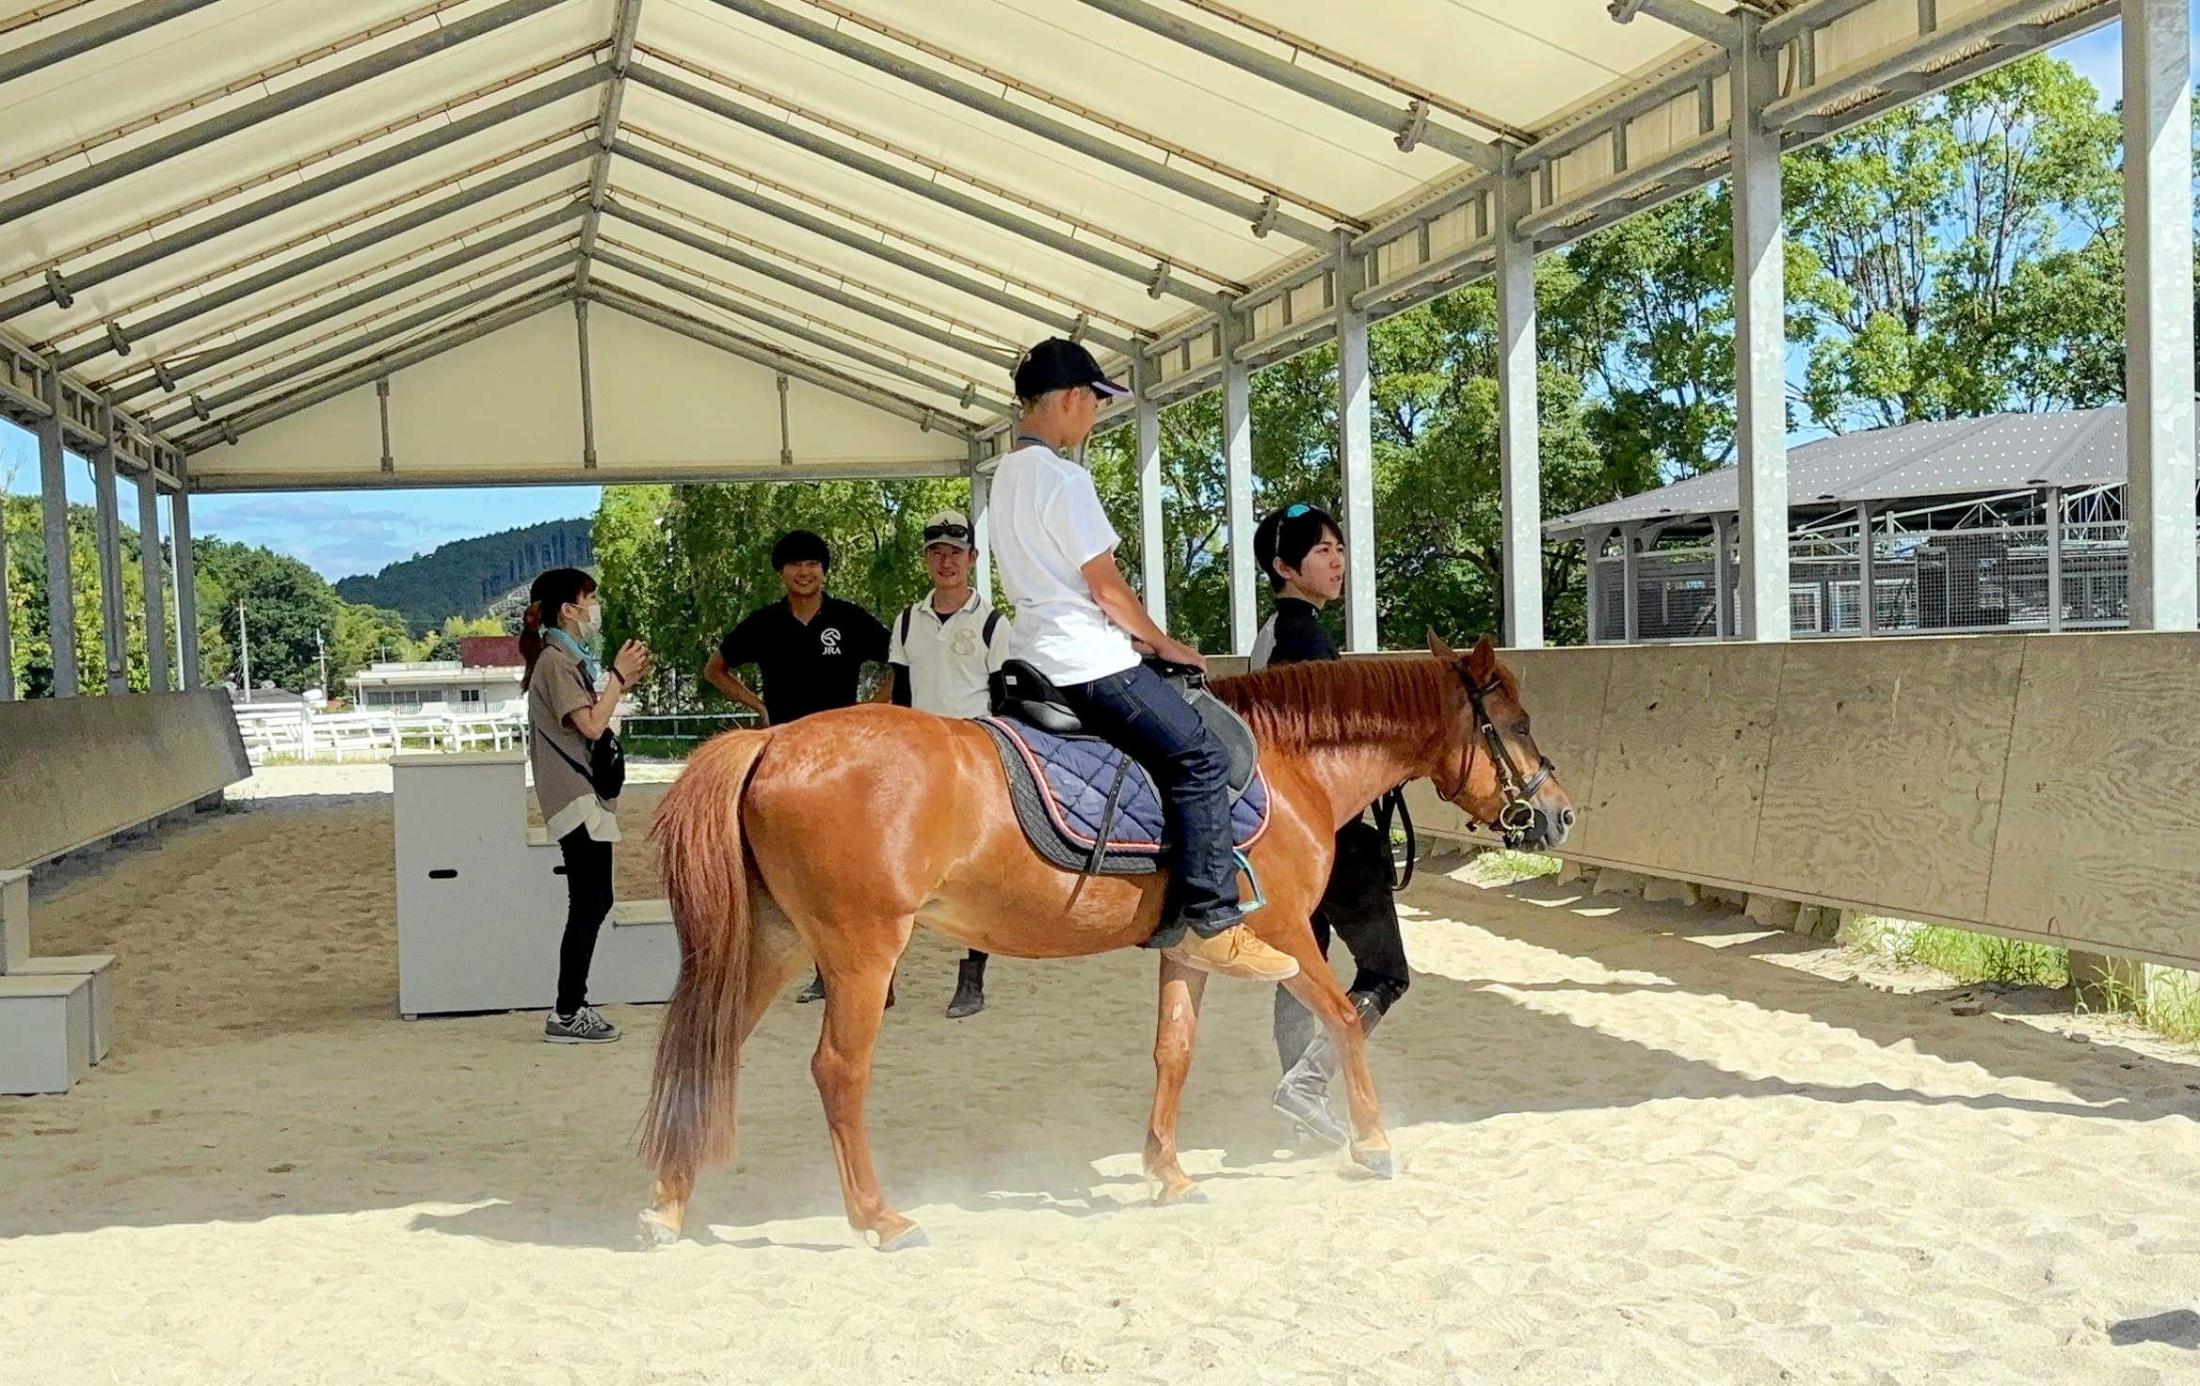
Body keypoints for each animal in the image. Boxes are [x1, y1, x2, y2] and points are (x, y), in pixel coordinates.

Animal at [638, 633, 1566, 1258]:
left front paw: (1169, 1173)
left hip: (776, 946)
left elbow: (1173, 1053)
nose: (1557, 815)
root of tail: (772, 739)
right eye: (1517, 721)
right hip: (860, 953)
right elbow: (1341, 1018)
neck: (1285, 762)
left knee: (713, 1046)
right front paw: (1371, 1144)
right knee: (837, 1072)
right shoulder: (1285, 934)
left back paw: (668, 1205)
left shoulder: (1191, 949)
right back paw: (879, 1219)